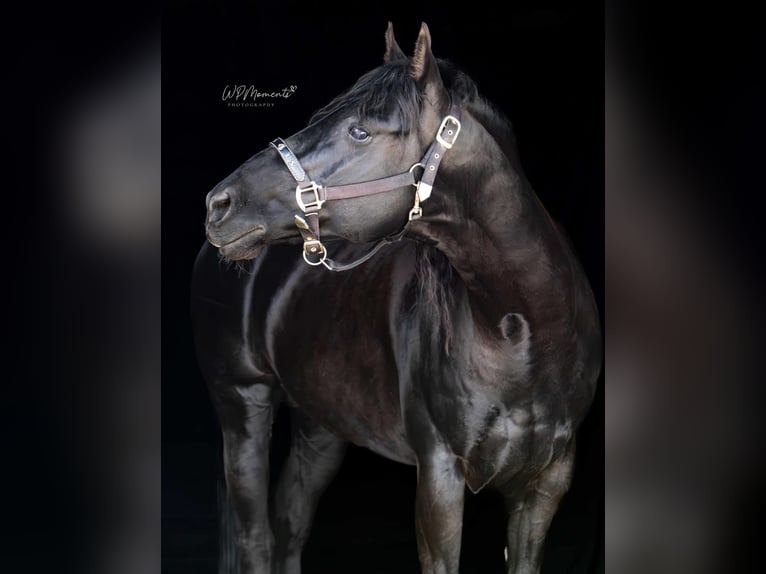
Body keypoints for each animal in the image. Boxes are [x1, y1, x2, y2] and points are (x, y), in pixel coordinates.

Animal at [191, 22, 601, 574]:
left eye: (360, 132)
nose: (220, 204)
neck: (521, 331)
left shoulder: (546, 484)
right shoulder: (440, 477)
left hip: (322, 423)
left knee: (290, 522)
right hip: (242, 405)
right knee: (256, 538)